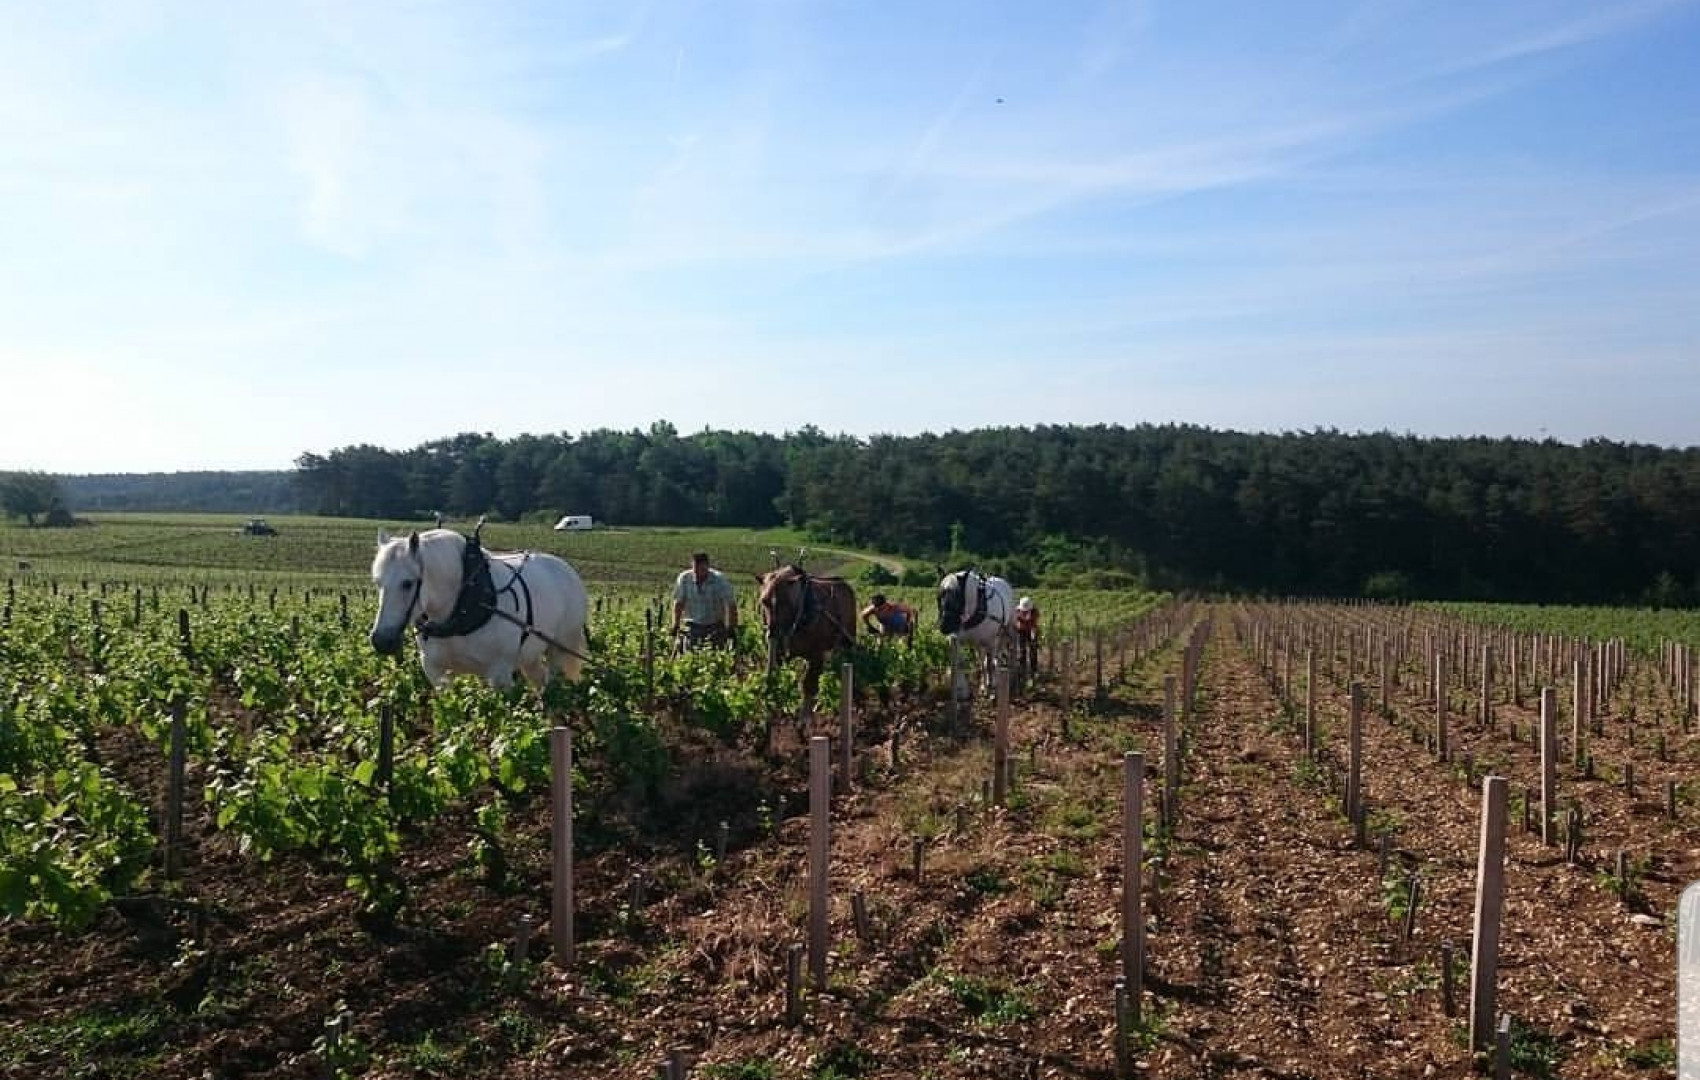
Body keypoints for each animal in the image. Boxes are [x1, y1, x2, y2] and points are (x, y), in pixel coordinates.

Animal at [367, 527, 591, 687]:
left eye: (407, 583)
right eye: (377, 582)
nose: (381, 641)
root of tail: (567, 569)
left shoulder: (500, 675)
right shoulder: (436, 672)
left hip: (560, 648)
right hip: (530, 656)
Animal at [758, 561, 856, 721]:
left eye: (786, 602)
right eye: (764, 601)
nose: (772, 633)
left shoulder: (816, 654)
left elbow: (808, 684)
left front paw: (805, 717)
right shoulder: (780, 654)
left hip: (848, 638)